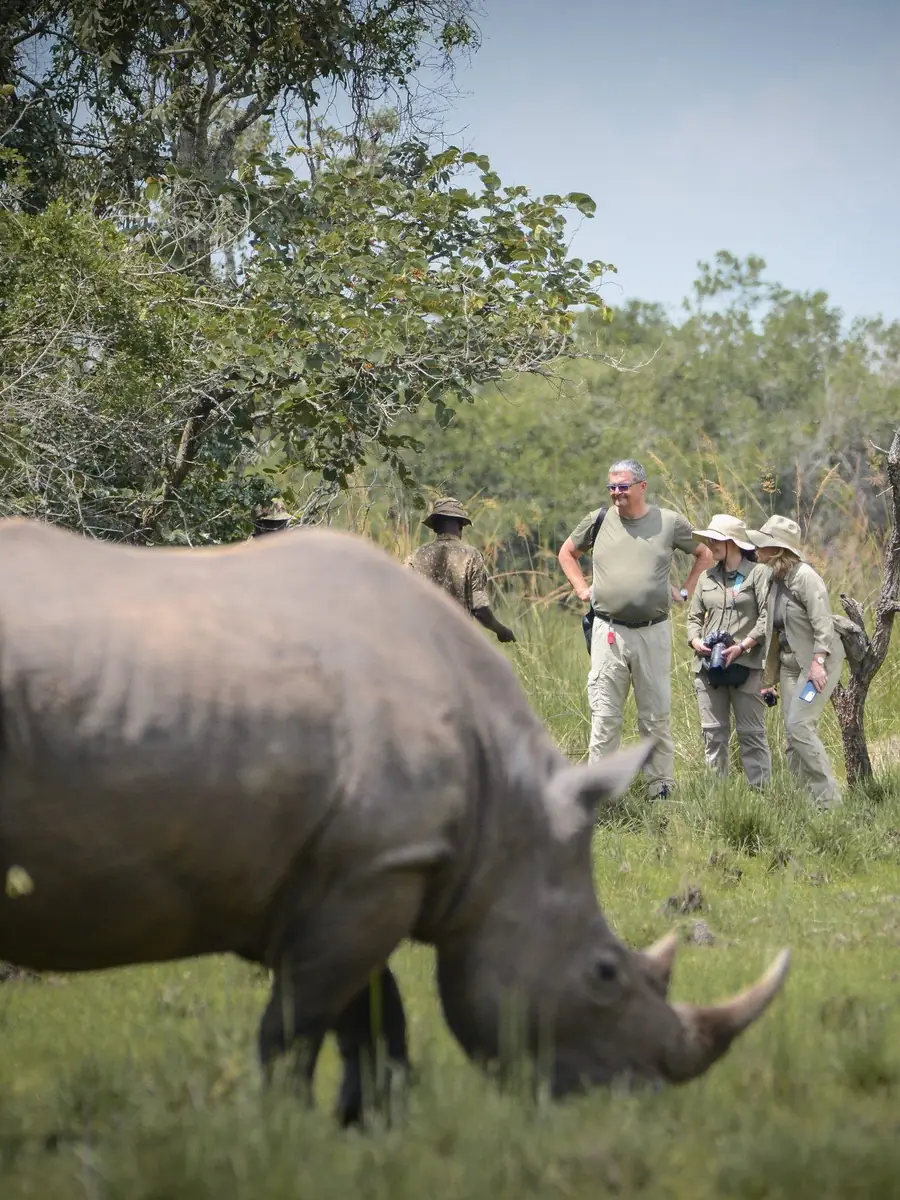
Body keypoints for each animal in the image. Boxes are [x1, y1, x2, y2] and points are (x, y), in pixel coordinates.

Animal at [0, 518, 789, 1123]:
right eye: (604, 974)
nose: (637, 1098)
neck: (508, 817)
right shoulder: (375, 868)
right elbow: (298, 1025)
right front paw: (281, 1132)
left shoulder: (363, 870)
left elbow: (373, 1015)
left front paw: (370, 1126)